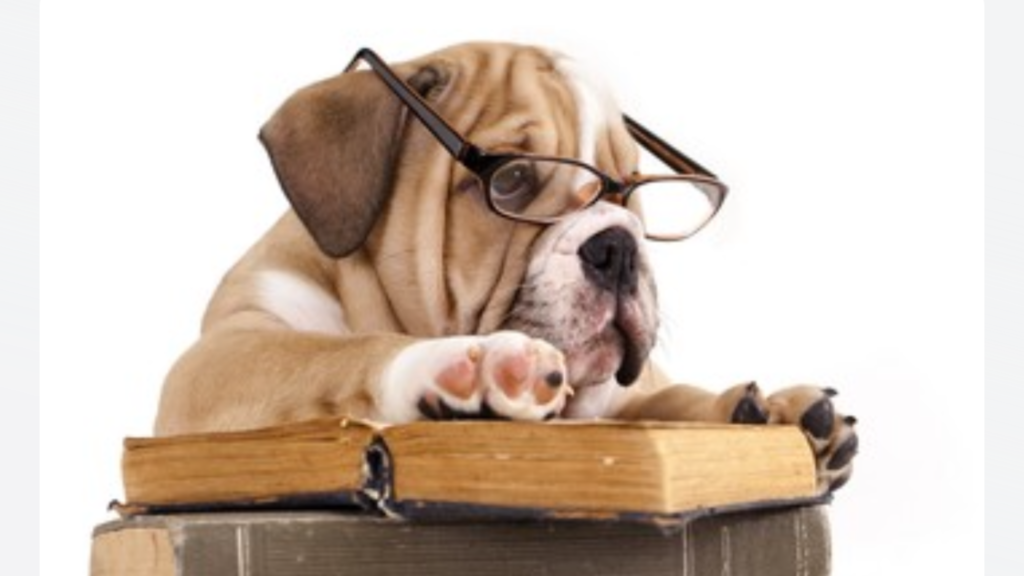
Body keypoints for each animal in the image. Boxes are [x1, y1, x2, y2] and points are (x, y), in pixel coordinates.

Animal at [154, 42, 856, 492]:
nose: (618, 245)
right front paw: (471, 363)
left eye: (630, 193)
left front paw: (773, 410)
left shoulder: (626, 396)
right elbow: (334, 353)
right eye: (514, 180)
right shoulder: (220, 359)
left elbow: (665, 397)